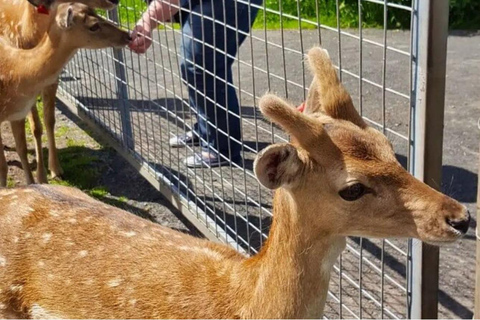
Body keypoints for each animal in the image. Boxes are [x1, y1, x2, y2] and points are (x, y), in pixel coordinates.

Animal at [0, 1, 131, 188]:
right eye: (93, 26)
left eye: (96, 13)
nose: (127, 36)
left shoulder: (19, 113)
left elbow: (28, 142)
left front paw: (48, 175)